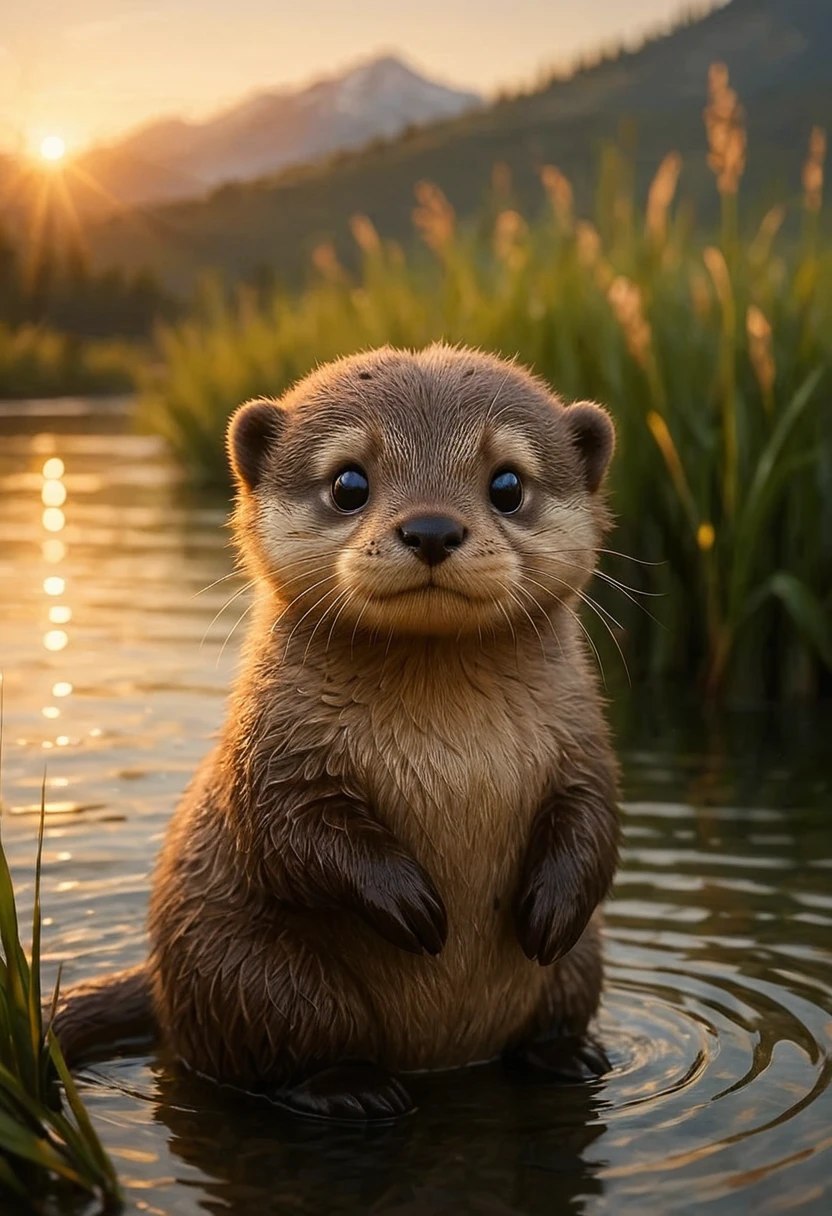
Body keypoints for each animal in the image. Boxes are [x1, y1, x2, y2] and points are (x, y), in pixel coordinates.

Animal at [54, 344, 620, 1120]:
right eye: (349, 482)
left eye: (508, 483)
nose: (432, 529)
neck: (449, 751)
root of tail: (162, 982)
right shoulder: (274, 755)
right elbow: (289, 830)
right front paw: (413, 905)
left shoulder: (586, 744)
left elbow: (597, 821)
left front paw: (550, 908)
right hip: (253, 974)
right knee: (280, 1053)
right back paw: (349, 1088)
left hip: (580, 966)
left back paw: (567, 1055)